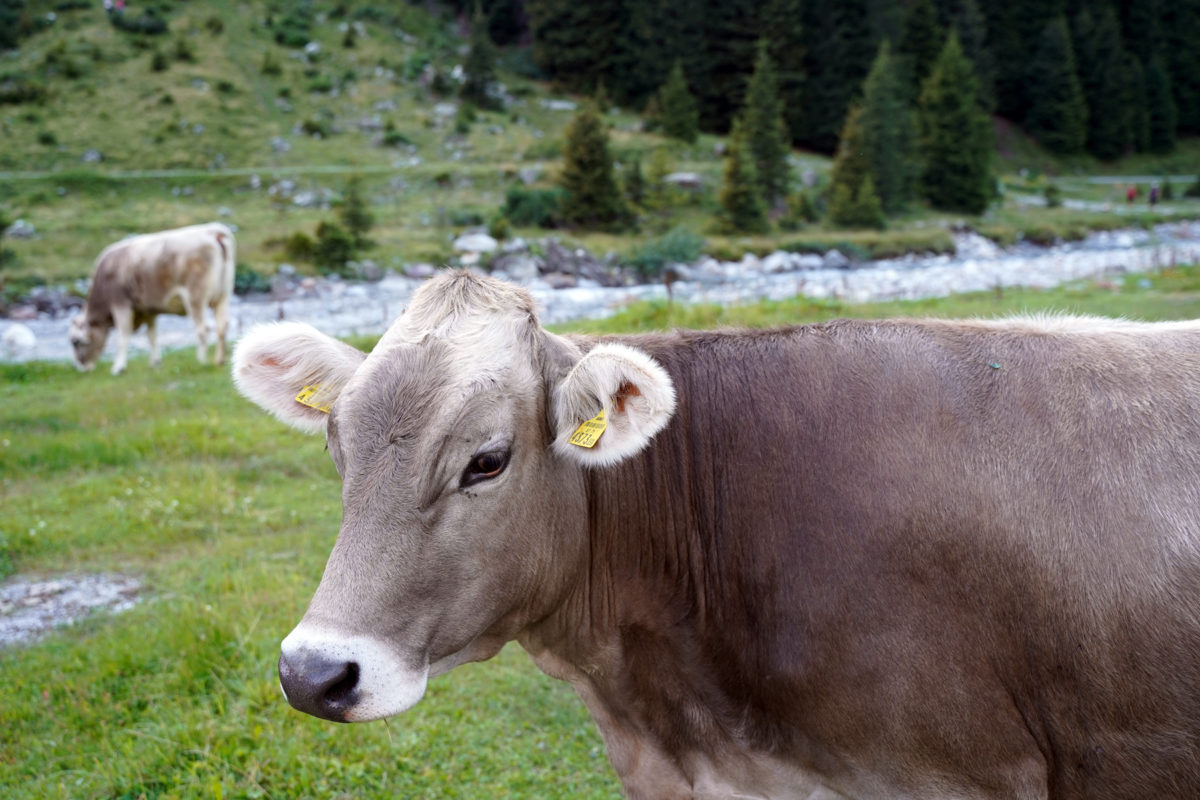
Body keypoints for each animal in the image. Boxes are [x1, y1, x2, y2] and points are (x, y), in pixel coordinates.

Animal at [69, 221, 234, 376]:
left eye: (76, 342)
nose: (80, 368)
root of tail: (214, 232)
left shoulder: (121, 304)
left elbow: (123, 336)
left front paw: (118, 367)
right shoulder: (148, 309)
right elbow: (152, 335)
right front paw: (155, 363)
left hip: (195, 297)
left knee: (203, 328)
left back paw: (201, 361)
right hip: (223, 295)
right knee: (222, 325)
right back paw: (219, 360)